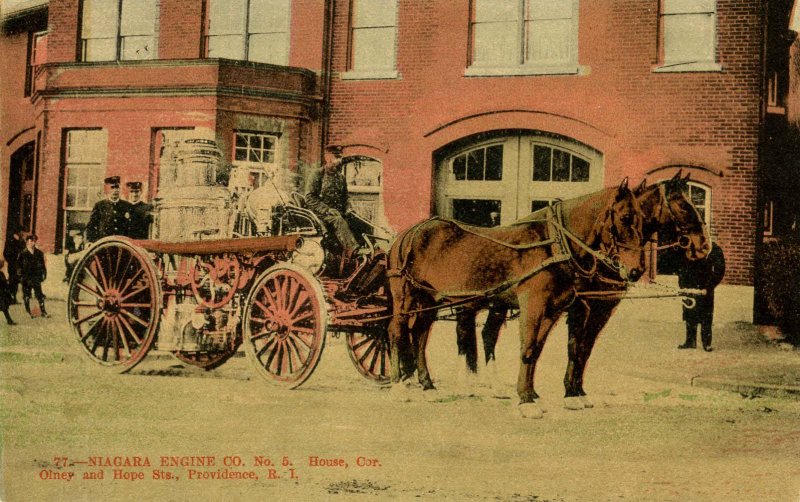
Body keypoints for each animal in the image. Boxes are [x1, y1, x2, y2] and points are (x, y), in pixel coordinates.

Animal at [386, 180, 644, 420]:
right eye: (625, 217)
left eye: (642, 218)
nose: (636, 270)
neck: (554, 244)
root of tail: (408, 234)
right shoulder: (534, 305)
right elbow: (528, 348)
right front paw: (526, 400)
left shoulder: (553, 310)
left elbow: (538, 350)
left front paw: (533, 395)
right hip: (405, 296)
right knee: (397, 330)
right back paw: (399, 387)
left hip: (429, 299)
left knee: (420, 334)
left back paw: (428, 386)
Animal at [454, 171, 708, 410]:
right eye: (684, 206)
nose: (704, 245)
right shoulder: (583, 307)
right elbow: (575, 347)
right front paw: (571, 393)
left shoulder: (600, 307)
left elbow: (583, 348)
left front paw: (575, 391)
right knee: (466, 333)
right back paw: (470, 383)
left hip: (497, 303)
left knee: (486, 334)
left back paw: (492, 385)